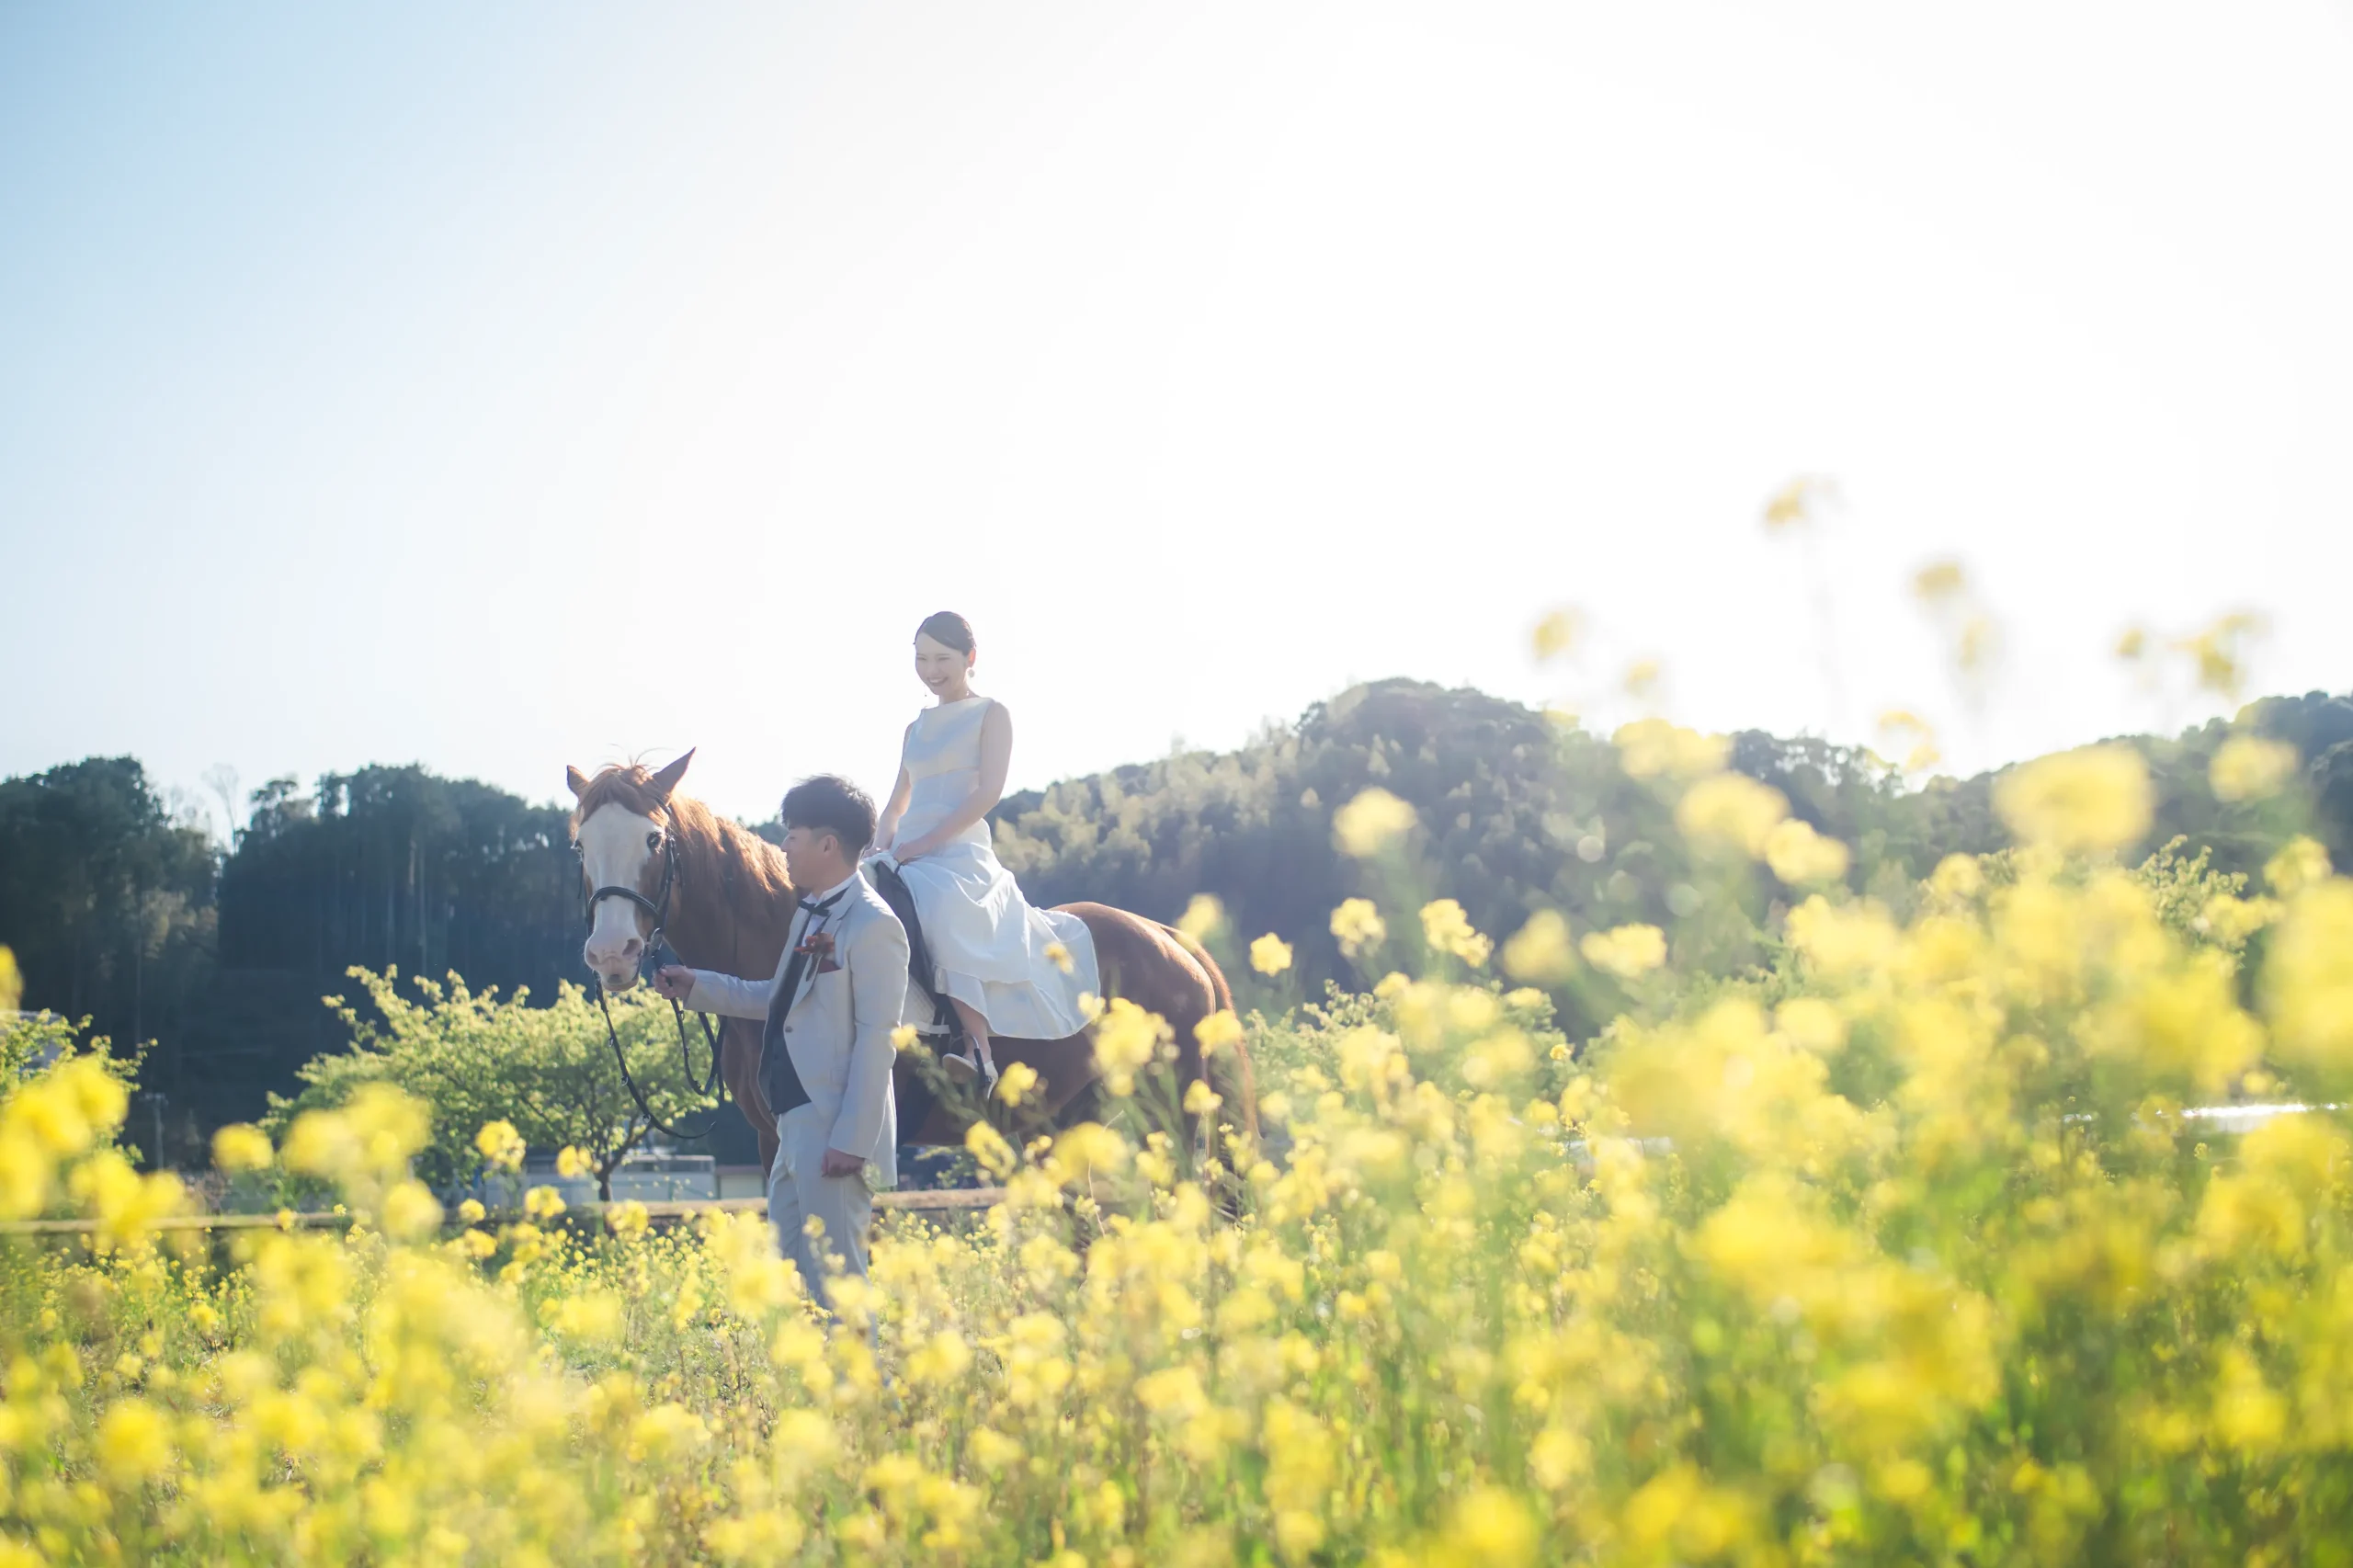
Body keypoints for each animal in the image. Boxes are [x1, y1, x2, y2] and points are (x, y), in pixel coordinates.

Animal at [565, 751, 1254, 1175]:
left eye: (654, 839)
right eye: (579, 846)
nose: (611, 955)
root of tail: (1169, 939)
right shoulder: (771, 1137)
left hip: (1170, 1115)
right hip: (1063, 1122)